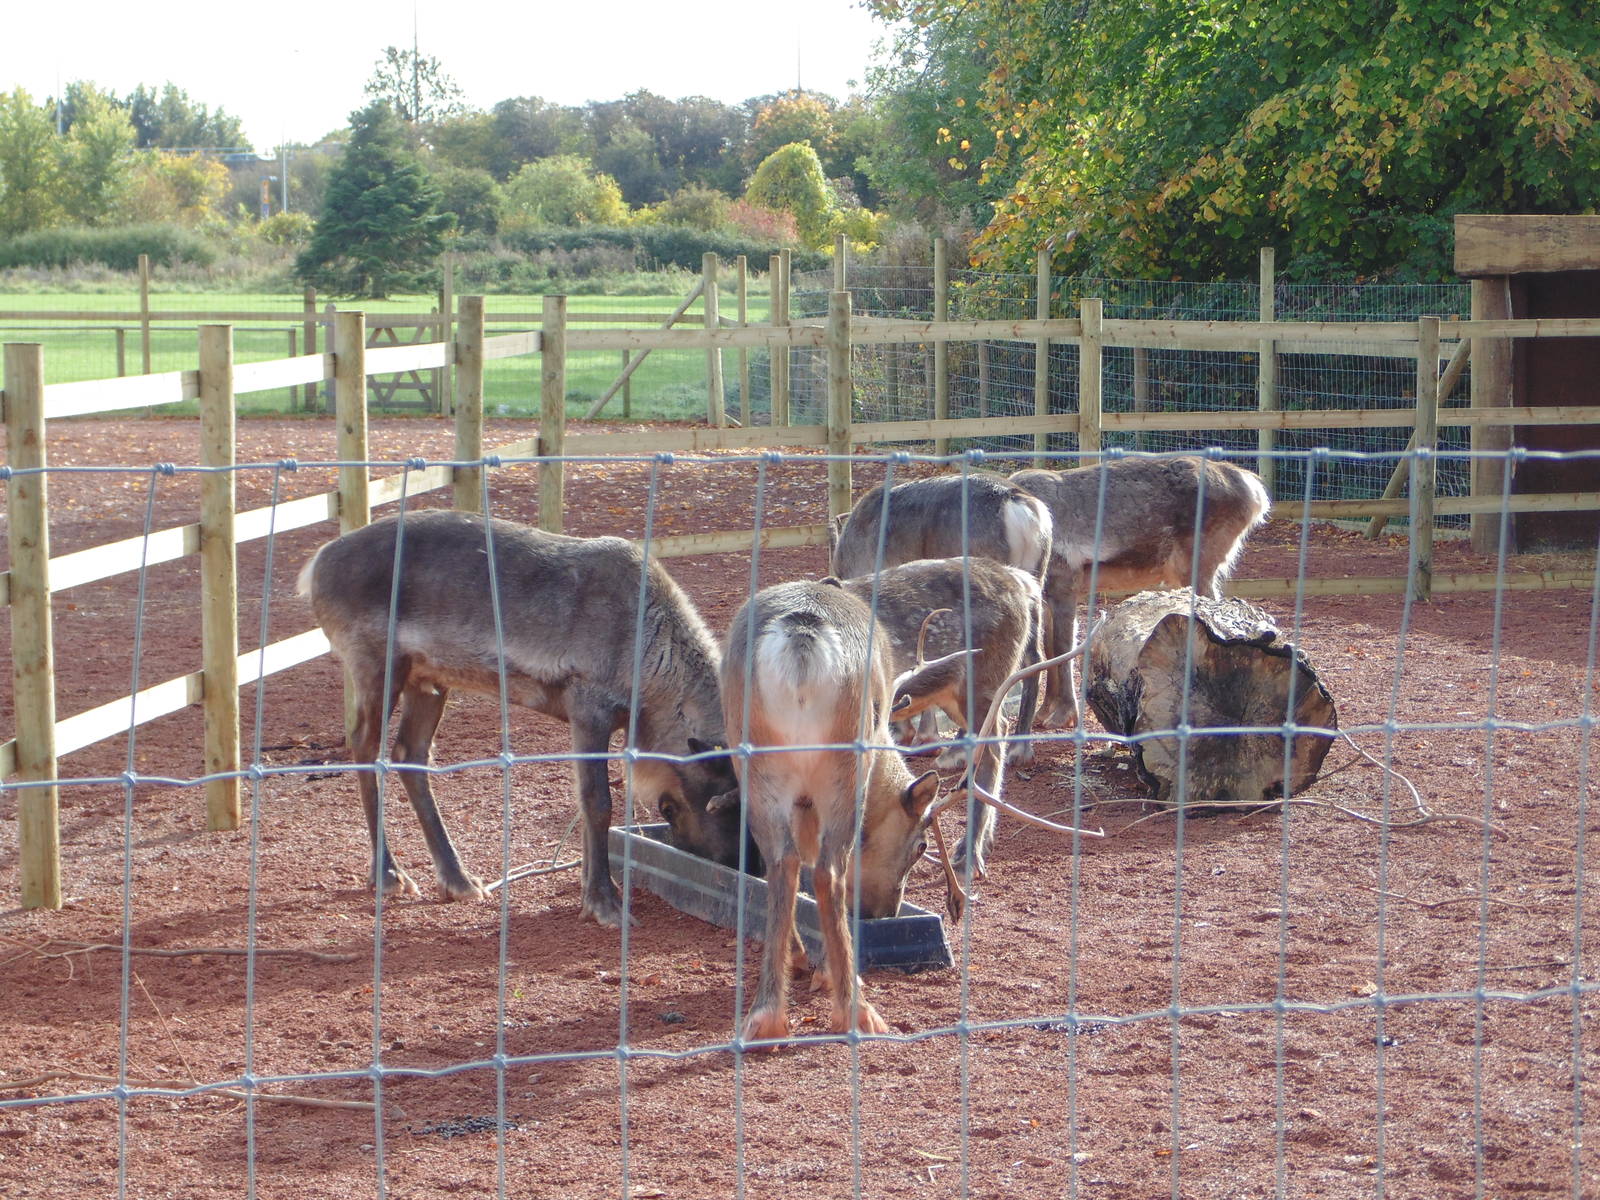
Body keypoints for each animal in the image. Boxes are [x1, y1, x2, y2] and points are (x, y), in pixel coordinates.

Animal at [297, 509, 740, 928]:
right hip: (376, 662)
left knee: (410, 753)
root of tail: (317, 562)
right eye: (723, 804)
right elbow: (597, 802)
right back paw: (388, 873)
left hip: (428, 678)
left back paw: (458, 878)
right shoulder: (589, 707)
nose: (731, 864)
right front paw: (604, 902)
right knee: (366, 747)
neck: (655, 656)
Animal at [828, 471, 1053, 763]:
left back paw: (958, 752)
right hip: (1035, 581)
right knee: (1033, 659)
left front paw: (920, 737)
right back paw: (1020, 748)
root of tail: (1020, 505)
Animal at [1008, 454, 1272, 727]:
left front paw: (1064, 715)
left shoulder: (1065, 583)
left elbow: (1063, 647)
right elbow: (1049, 647)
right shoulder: (1046, 595)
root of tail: (1254, 490)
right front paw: (1044, 712)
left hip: (1198, 564)